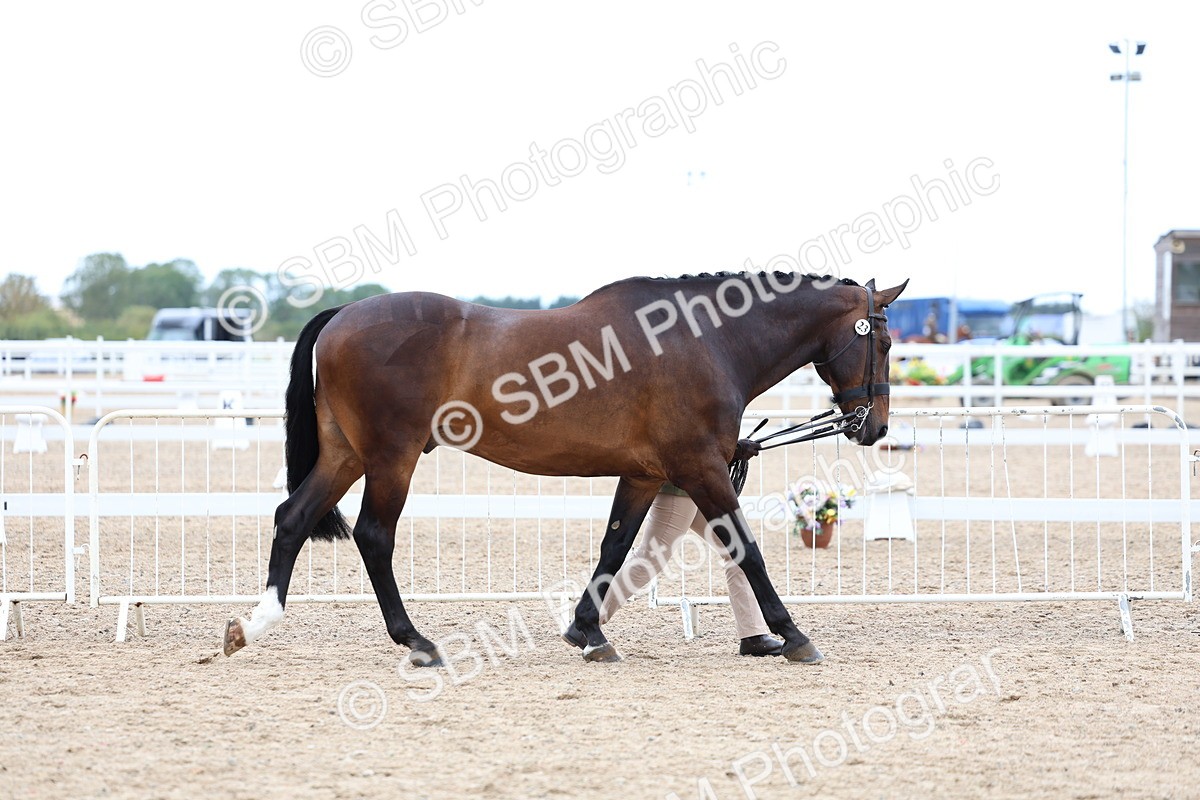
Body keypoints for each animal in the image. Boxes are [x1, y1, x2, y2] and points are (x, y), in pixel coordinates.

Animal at [222, 271, 907, 665]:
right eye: (884, 340)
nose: (873, 426)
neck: (703, 341)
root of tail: (342, 315)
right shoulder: (702, 469)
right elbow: (747, 550)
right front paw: (793, 636)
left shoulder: (645, 475)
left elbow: (615, 548)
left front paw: (588, 632)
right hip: (391, 457)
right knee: (373, 535)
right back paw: (416, 642)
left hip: (346, 453)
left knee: (293, 517)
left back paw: (255, 625)